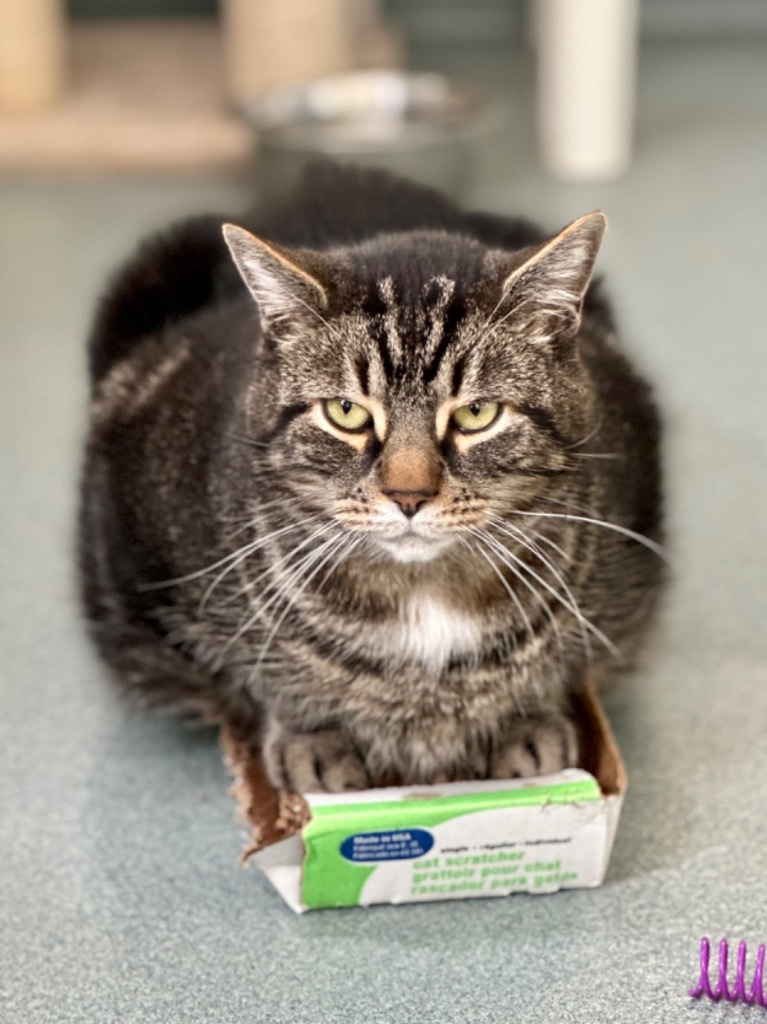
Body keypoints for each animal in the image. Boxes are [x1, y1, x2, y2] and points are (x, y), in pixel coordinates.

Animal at [79, 163, 663, 794]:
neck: (424, 599)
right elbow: (257, 680)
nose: (408, 495)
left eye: (476, 414)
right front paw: (311, 741)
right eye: (346, 412)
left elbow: (564, 668)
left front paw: (528, 728)